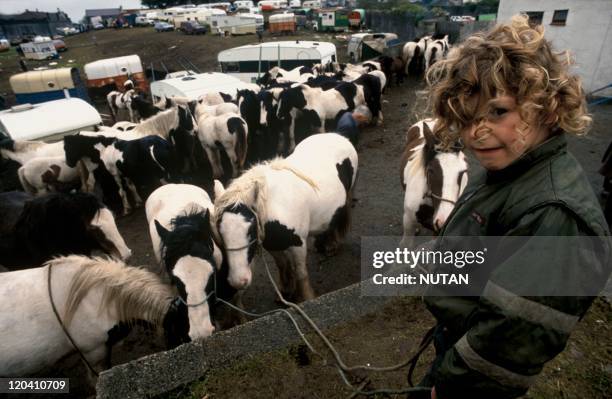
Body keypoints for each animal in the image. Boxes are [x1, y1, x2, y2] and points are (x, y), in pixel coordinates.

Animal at [215, 133, 358, 302]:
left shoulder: (298, 245)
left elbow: (301, 272)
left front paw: (307, 297)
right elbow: (282, 264)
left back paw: (330, 245)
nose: (238, 281)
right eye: (220, 233)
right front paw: (285, 290)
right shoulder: (271, 245)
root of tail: (338, 136)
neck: (276, 206)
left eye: (250, 230)